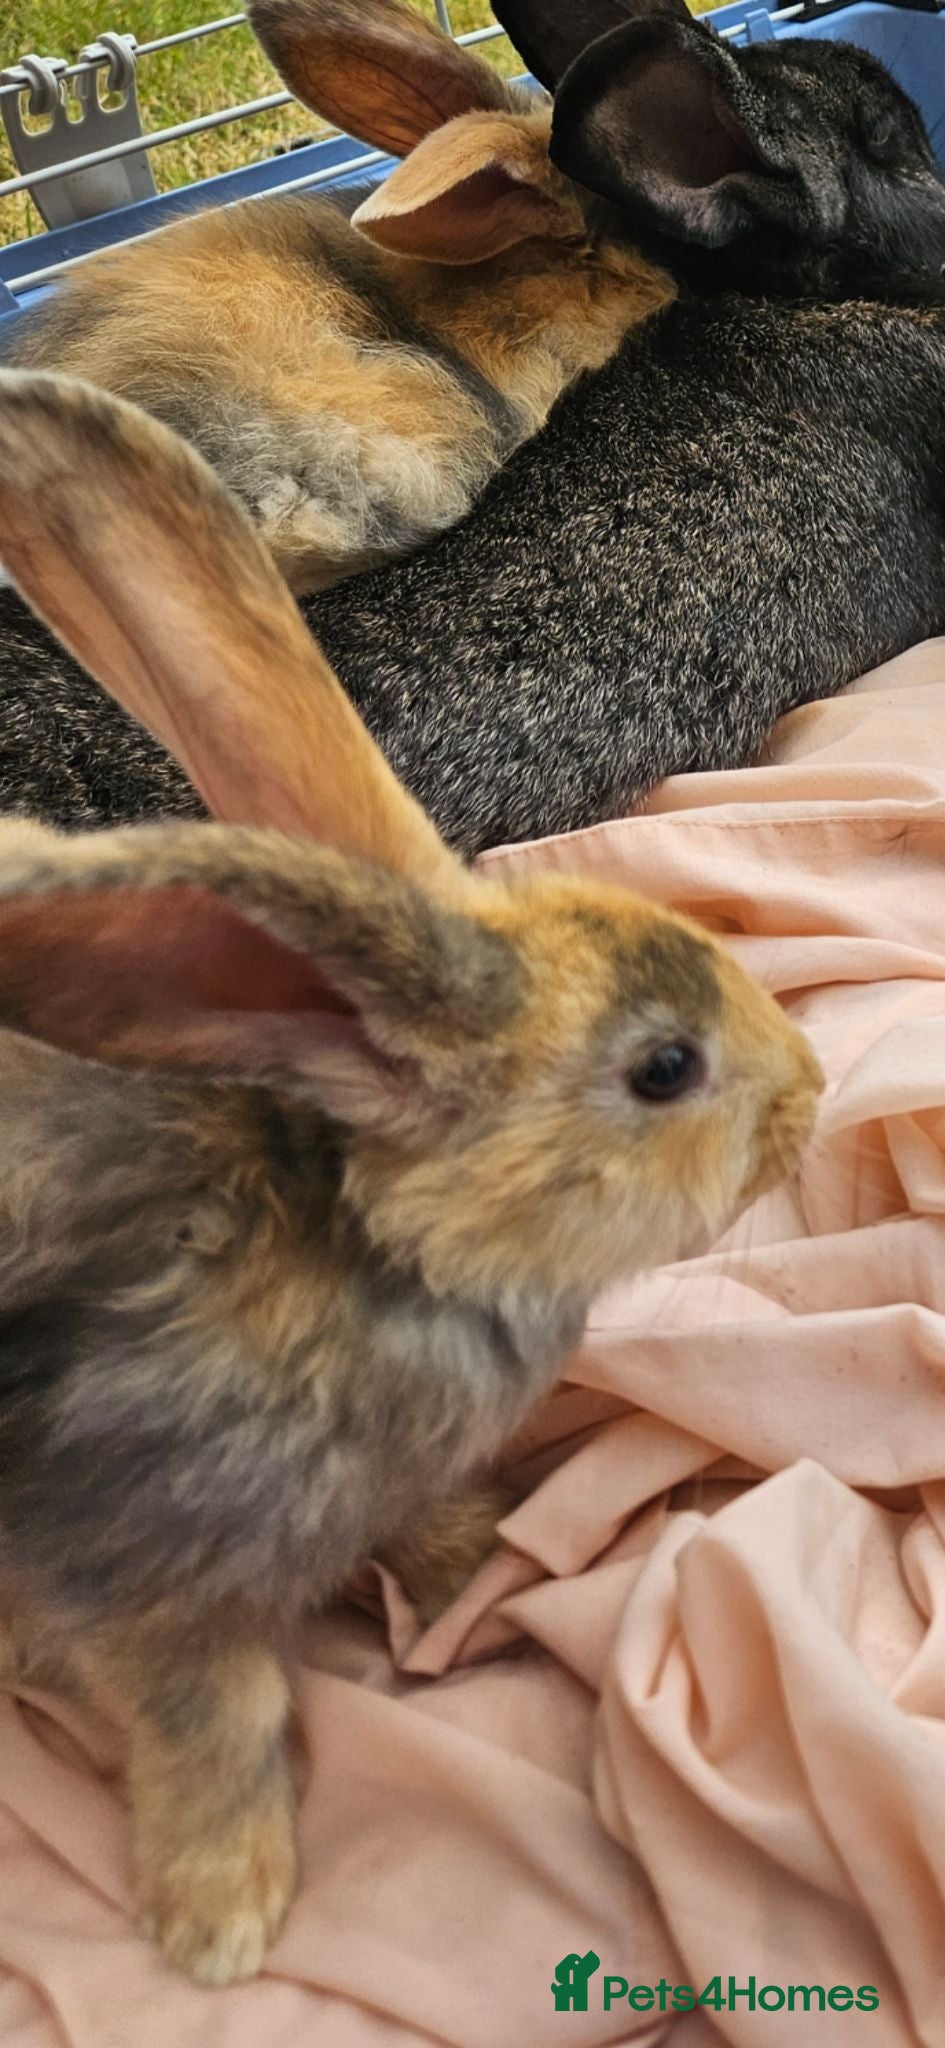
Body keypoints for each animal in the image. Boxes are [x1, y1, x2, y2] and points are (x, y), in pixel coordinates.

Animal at [0, 366, 823, 1986]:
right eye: (663, 1068)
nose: (814, 1098)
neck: (374, 1247)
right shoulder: (134, 1570)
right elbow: (222, 1720)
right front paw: (220, 1919)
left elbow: (423, 1526)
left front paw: (483, 1577)